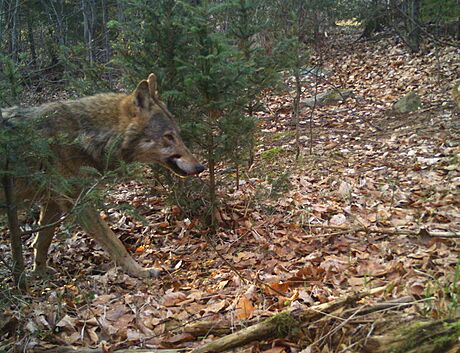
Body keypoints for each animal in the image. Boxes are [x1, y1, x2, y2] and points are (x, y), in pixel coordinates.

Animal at [0, 74, 205, 278]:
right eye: (168, 136)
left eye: (178, 134)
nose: (200, 167)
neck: (85, 136)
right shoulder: (78, 202)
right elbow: (115, 243)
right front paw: (140, 271)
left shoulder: (53, 202)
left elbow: (42, 241)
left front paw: (39, 274)